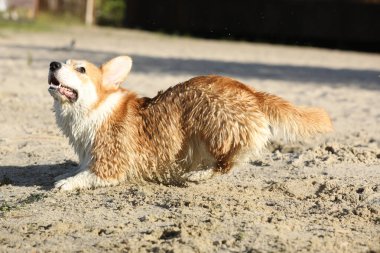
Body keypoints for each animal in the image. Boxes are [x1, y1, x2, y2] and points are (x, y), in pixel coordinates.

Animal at [48, 55, 332, 190]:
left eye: (81, 69)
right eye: (64, 62)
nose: (52, 64)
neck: (94, 108)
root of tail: (252, 92)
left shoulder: (110, 166)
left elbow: (85, 176)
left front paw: (66, 183)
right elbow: (77, 169)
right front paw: (64, 174)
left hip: (212, 126)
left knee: (227, 162)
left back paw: (198, 174)